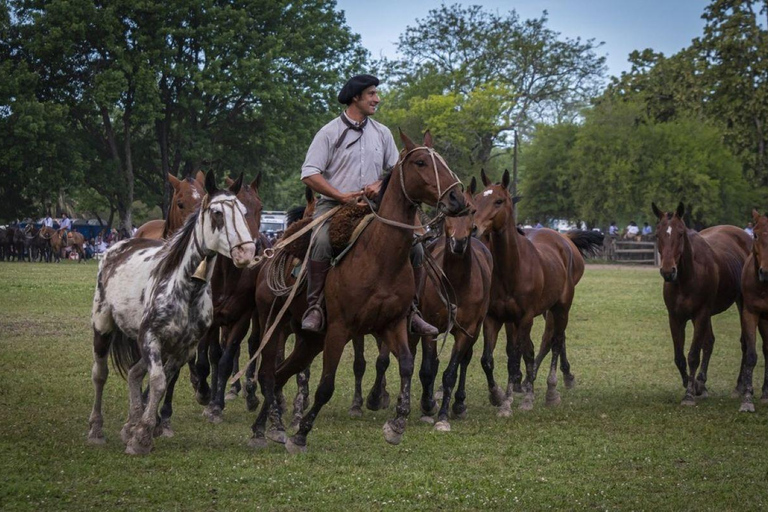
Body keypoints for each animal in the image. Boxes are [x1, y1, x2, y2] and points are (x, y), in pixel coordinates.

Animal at [250, 129, 468, 452]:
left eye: (441, 160)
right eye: (420, 162)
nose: (457, 198)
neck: (379, 257)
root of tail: (276, 250)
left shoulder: (393, 324)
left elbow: (405, 365)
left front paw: (396, 424)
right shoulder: (340, 329)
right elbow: (326, 386)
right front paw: (302, 434)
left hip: (309, 341)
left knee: (279, 375)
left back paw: (269, 428)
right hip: (272, 326)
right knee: (267, 375)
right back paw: (266, 429)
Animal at [472, 170, 604, 414]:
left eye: (498, 201)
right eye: (476, 199)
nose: (474, 228)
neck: (512, 269)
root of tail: (564, 239)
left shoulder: (524, 318)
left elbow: (517, 358)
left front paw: (513, 401)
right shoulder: (494, 318)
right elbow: (488, 359)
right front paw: (498, 396)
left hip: (560, 309)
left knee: (555, 341)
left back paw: (552, 390)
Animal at [652, 202, 752, 406]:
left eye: (680, 233)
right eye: (658, 234)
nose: (668, 271)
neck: (686, 277)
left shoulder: (700, 314)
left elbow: (692, 355)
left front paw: (689, 395)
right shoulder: (675, 318)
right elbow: (679, 357)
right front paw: (693, 384)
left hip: (741, 303)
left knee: (744, 343)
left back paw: (739, 387)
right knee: (709, 342)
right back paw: (702, 383)